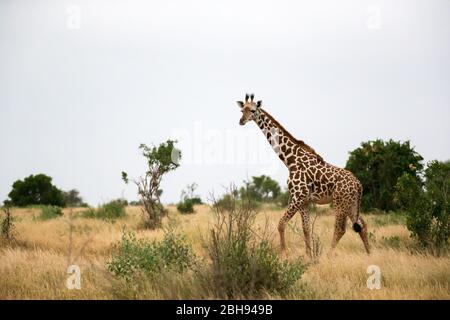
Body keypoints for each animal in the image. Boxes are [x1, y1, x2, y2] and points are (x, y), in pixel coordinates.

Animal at [237, 94, 370, 256]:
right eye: (242, 110)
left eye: (253, 110)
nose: (241, 121)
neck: (290, 160)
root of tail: (358, 184)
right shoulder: (304, 201)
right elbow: (306, 228)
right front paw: (309, 255)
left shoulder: (298, 196)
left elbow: (281, 224)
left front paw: (284, 253)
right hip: (352, 203)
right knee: (362, 225)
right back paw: (370, 254)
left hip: (340, 202)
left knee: (340, 229)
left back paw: (328, 255)